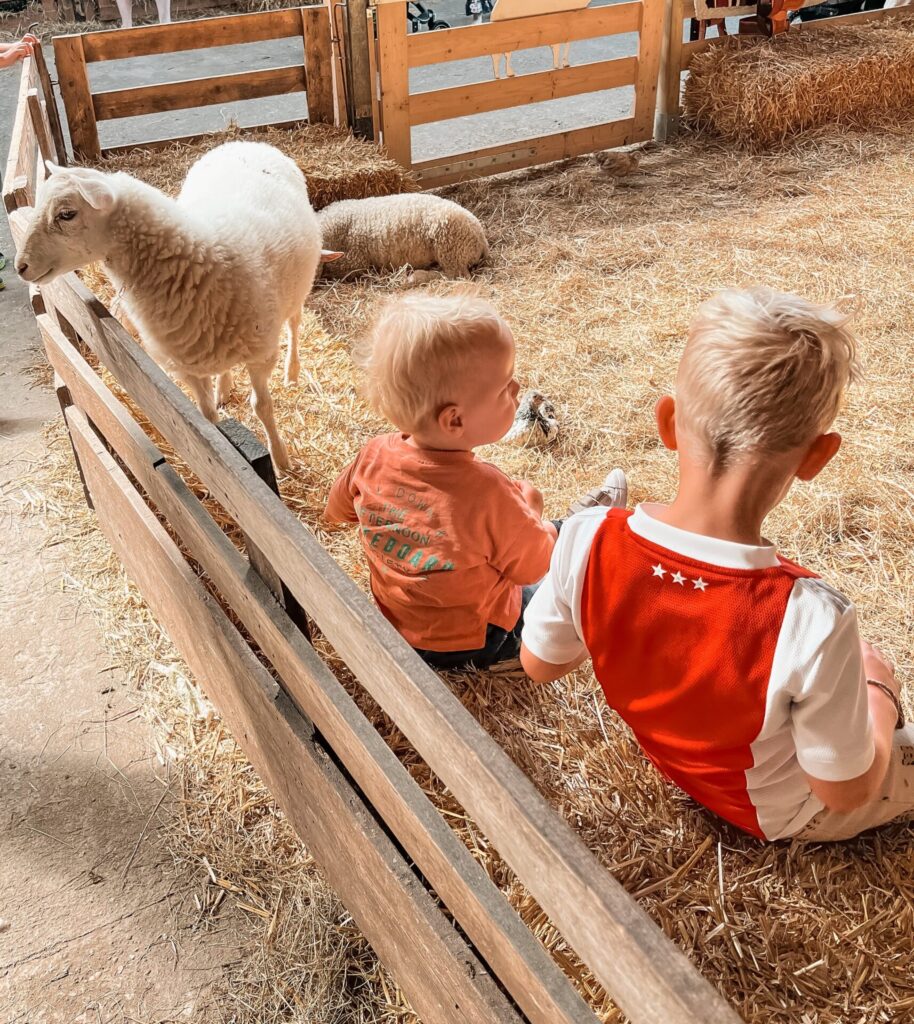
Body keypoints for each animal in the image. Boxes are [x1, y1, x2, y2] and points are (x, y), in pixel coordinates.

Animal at [14, 140, 323, 468]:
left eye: (67, 214)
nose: (20, 267)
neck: (196, 260)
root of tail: (243, 142)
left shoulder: (260, 353)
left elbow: (261, 406)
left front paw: (280, 459)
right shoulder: (190, 365)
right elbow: (208, 422)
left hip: (298, 288)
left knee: (294, 325)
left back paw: (292, 372)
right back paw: (224, 387)